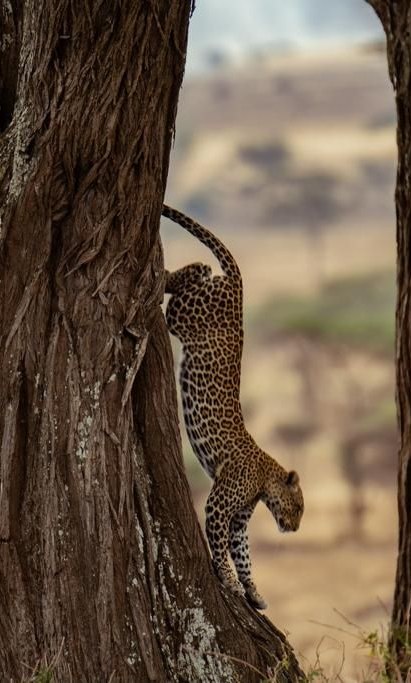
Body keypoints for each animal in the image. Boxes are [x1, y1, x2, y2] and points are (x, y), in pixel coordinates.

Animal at [162, 204, 304, 610]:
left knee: (199, 272)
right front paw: (229, 581)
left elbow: (243, 553)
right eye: (299, 508)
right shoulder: (219, 506)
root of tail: (240, 286)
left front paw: (254, 591)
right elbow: (224, 549)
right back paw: (166, 274)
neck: (266, 476)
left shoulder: (240, 518)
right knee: (184, 287)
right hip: (185, 317)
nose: (295, 528)